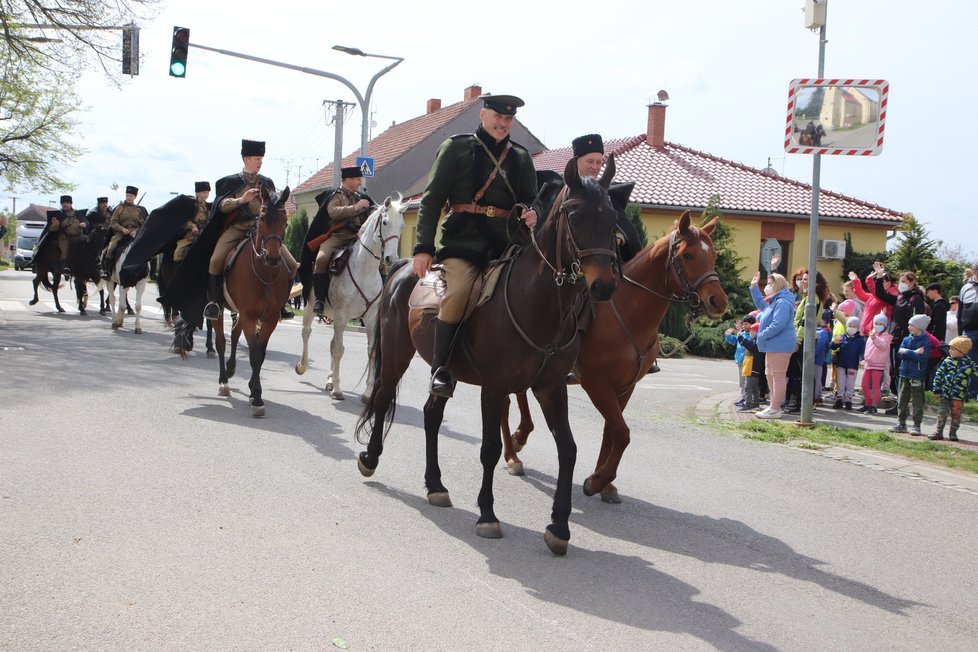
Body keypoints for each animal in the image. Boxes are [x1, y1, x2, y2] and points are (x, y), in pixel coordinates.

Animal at [174, 185, 290, 418]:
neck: (264, 273)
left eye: (285, 219)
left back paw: (231, 367)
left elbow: (261, 353)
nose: (273, 257)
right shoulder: (249, 315)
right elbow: (254, 355)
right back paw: (223, 381)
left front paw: (254, 391)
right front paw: (257, 397)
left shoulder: (269, 318)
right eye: (262, 217)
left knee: (235, 335)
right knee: (221, 342)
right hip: (219, 310)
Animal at [296, 191, 406, 400]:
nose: (391, 259)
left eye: (402, 225)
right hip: (310, 307)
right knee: (307, 333)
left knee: (331, 343)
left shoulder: (370, 319)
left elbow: (371, 351)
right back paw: (303, 366)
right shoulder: (341, 316)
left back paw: (329, 380)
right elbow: (339, 350)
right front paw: (338, 390)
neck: (364, 269)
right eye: (385, 222)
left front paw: (368, 392)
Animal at [356, 158, 616, 556]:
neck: (538, 304)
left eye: (612, 216)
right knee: (383, 398)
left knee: (431, 415)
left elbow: (568, 450)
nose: (604, 285)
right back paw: (370, 460)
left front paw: (559, 526)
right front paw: (488, 515)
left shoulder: (551, 388)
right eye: (575, 215)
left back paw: (435, 485)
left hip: (444, 371)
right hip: (398, 355)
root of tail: (402, 268)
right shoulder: (494, 389)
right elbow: (491, 448)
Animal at [504, 211, 724, 502]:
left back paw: (519, 438)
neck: (626, 312)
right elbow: (622, 431)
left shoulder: (625, 386)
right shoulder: (596, 383)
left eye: (714, 256)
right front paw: (597, 481)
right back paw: (512, 454)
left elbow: (612, 429)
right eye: (688, 255)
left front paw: (603, 481)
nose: (718, 302)